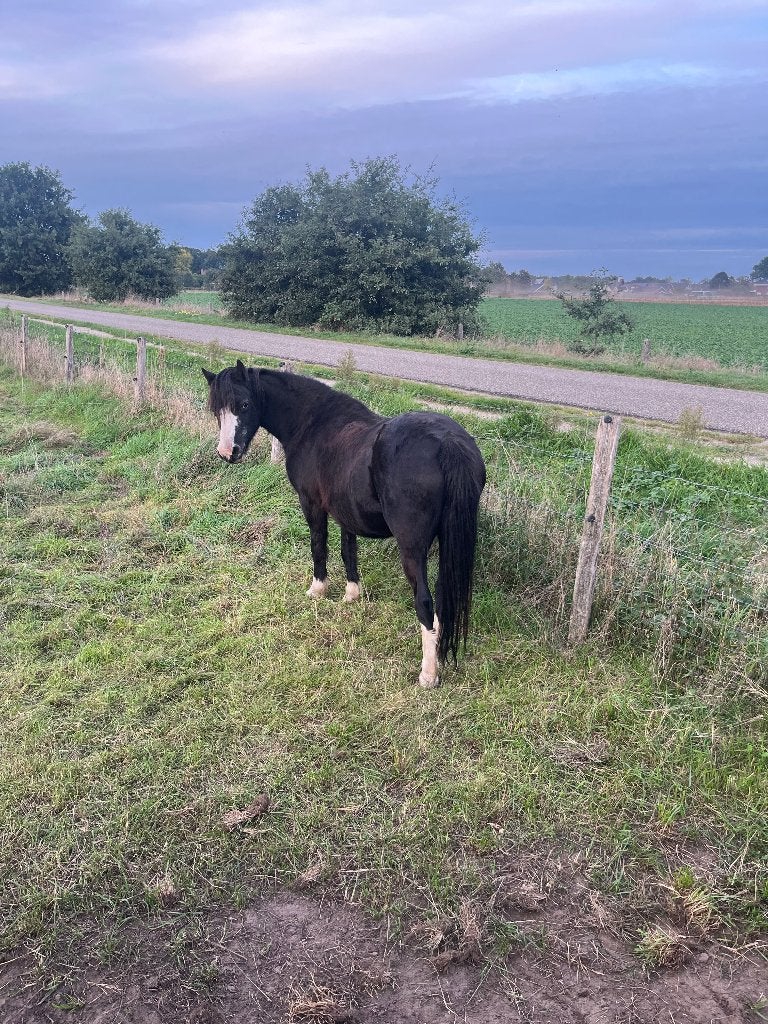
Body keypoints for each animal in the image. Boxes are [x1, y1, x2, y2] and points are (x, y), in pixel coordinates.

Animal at [202, 360, 486, 688]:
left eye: (245, 404)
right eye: (216, 409)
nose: (228, 453)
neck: (312, 424)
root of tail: (447, 442)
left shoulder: (312, 504)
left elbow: (319, 546)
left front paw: (318, 590)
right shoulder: (345, 511)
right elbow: (348, 549)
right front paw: (352, 594)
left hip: (412, 550)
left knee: (425, 604)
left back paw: (428, 674)